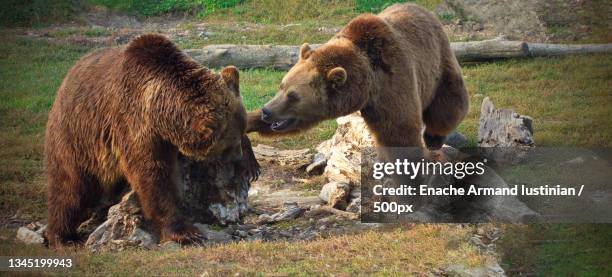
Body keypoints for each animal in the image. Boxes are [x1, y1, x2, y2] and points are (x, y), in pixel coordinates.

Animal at [44, 33, 258, 246]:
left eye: (238, 136)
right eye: (228, 145)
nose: (238, 157)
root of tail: (65, 82)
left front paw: (251, 164)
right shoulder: (133, 123)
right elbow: (152, 176)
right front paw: (184, 231)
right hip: (75, 139)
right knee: (70, 189)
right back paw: (61, 236)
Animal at [249, 2, 468, 151]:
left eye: (294, 96)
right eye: (282, 85)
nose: (267, 111)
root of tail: (425, 11)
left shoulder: (393, 79)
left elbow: (400, 131)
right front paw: (249, 120)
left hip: (439, 63)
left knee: (449, 104)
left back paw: (434, 138)